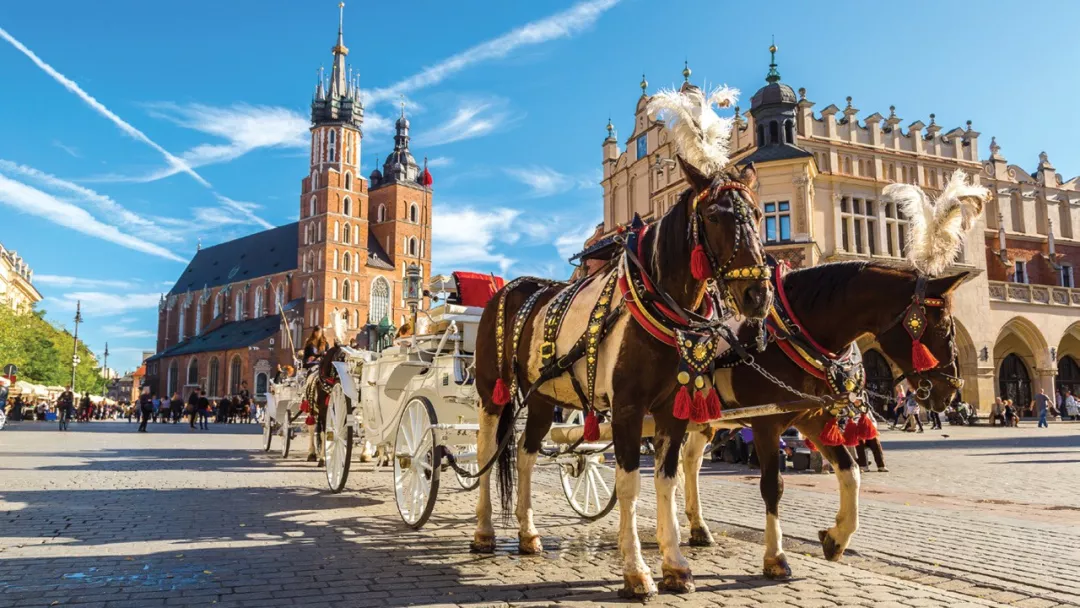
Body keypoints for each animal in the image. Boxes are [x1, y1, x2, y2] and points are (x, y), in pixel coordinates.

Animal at [477, 158, 773, 600]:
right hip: (492, 391)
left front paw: (675, 565)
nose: (758, 295)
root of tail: (507, 288)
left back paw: (529, 534)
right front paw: (636, 572)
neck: (657, 304)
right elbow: (630, 484)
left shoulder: (673, 410)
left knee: (526, 454)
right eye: (713, 216)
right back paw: (483, 531)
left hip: (543, 397)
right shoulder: (628, 409)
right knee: (485, 451)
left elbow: (667, 480)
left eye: (758, 215)